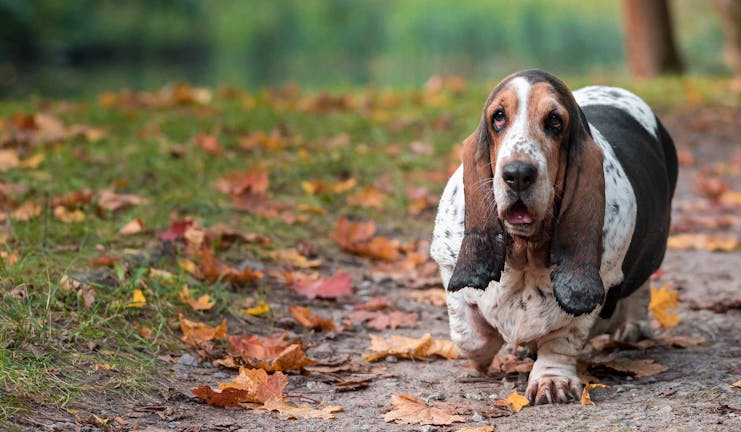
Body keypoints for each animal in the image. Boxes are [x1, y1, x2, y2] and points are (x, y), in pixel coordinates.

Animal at [428, 70, 676, 404]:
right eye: (498, 117)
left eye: (555, 121)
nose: (518, 174)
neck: (525, 251)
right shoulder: (448, 267)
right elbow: (471, 336)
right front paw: (482, 359)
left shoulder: (595, 289)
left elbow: (562, 339)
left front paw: (552, 381)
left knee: (642, 287)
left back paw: (633, 326)